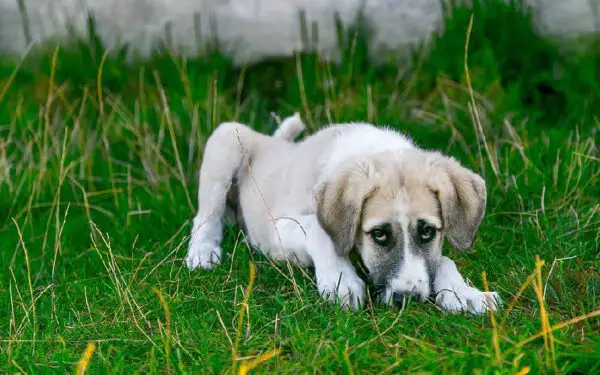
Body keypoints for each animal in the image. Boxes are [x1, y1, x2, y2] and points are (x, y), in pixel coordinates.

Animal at [185, 114, 500, 314]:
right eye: (379, 234)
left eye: (427, 232)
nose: (407, 299)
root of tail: (274, 142)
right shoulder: (279, 228)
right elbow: (319, 231)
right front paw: (341, 281)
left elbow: (444, 259)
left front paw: (465, 293)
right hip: (226, 140)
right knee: (205, 215)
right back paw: (202, 251)